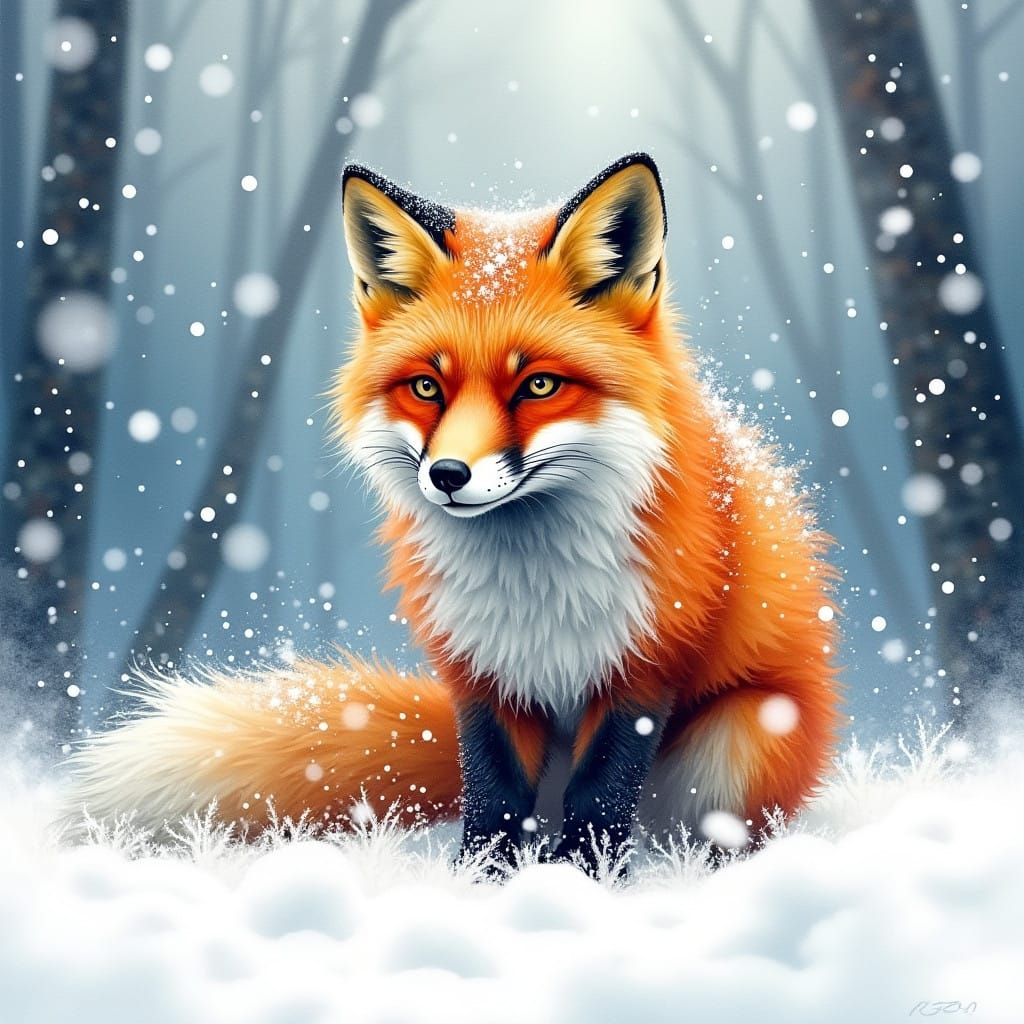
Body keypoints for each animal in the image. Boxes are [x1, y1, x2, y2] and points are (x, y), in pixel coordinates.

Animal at [70, 153, 841, 872]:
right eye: (426, 387)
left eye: (538, 386)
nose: (447, 475)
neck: (534, 586)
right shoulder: (481, 670)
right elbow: (496, 795)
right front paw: (481, 884)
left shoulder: (644, 668)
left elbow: (599, 797)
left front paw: (582, 885)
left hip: (738, 739)